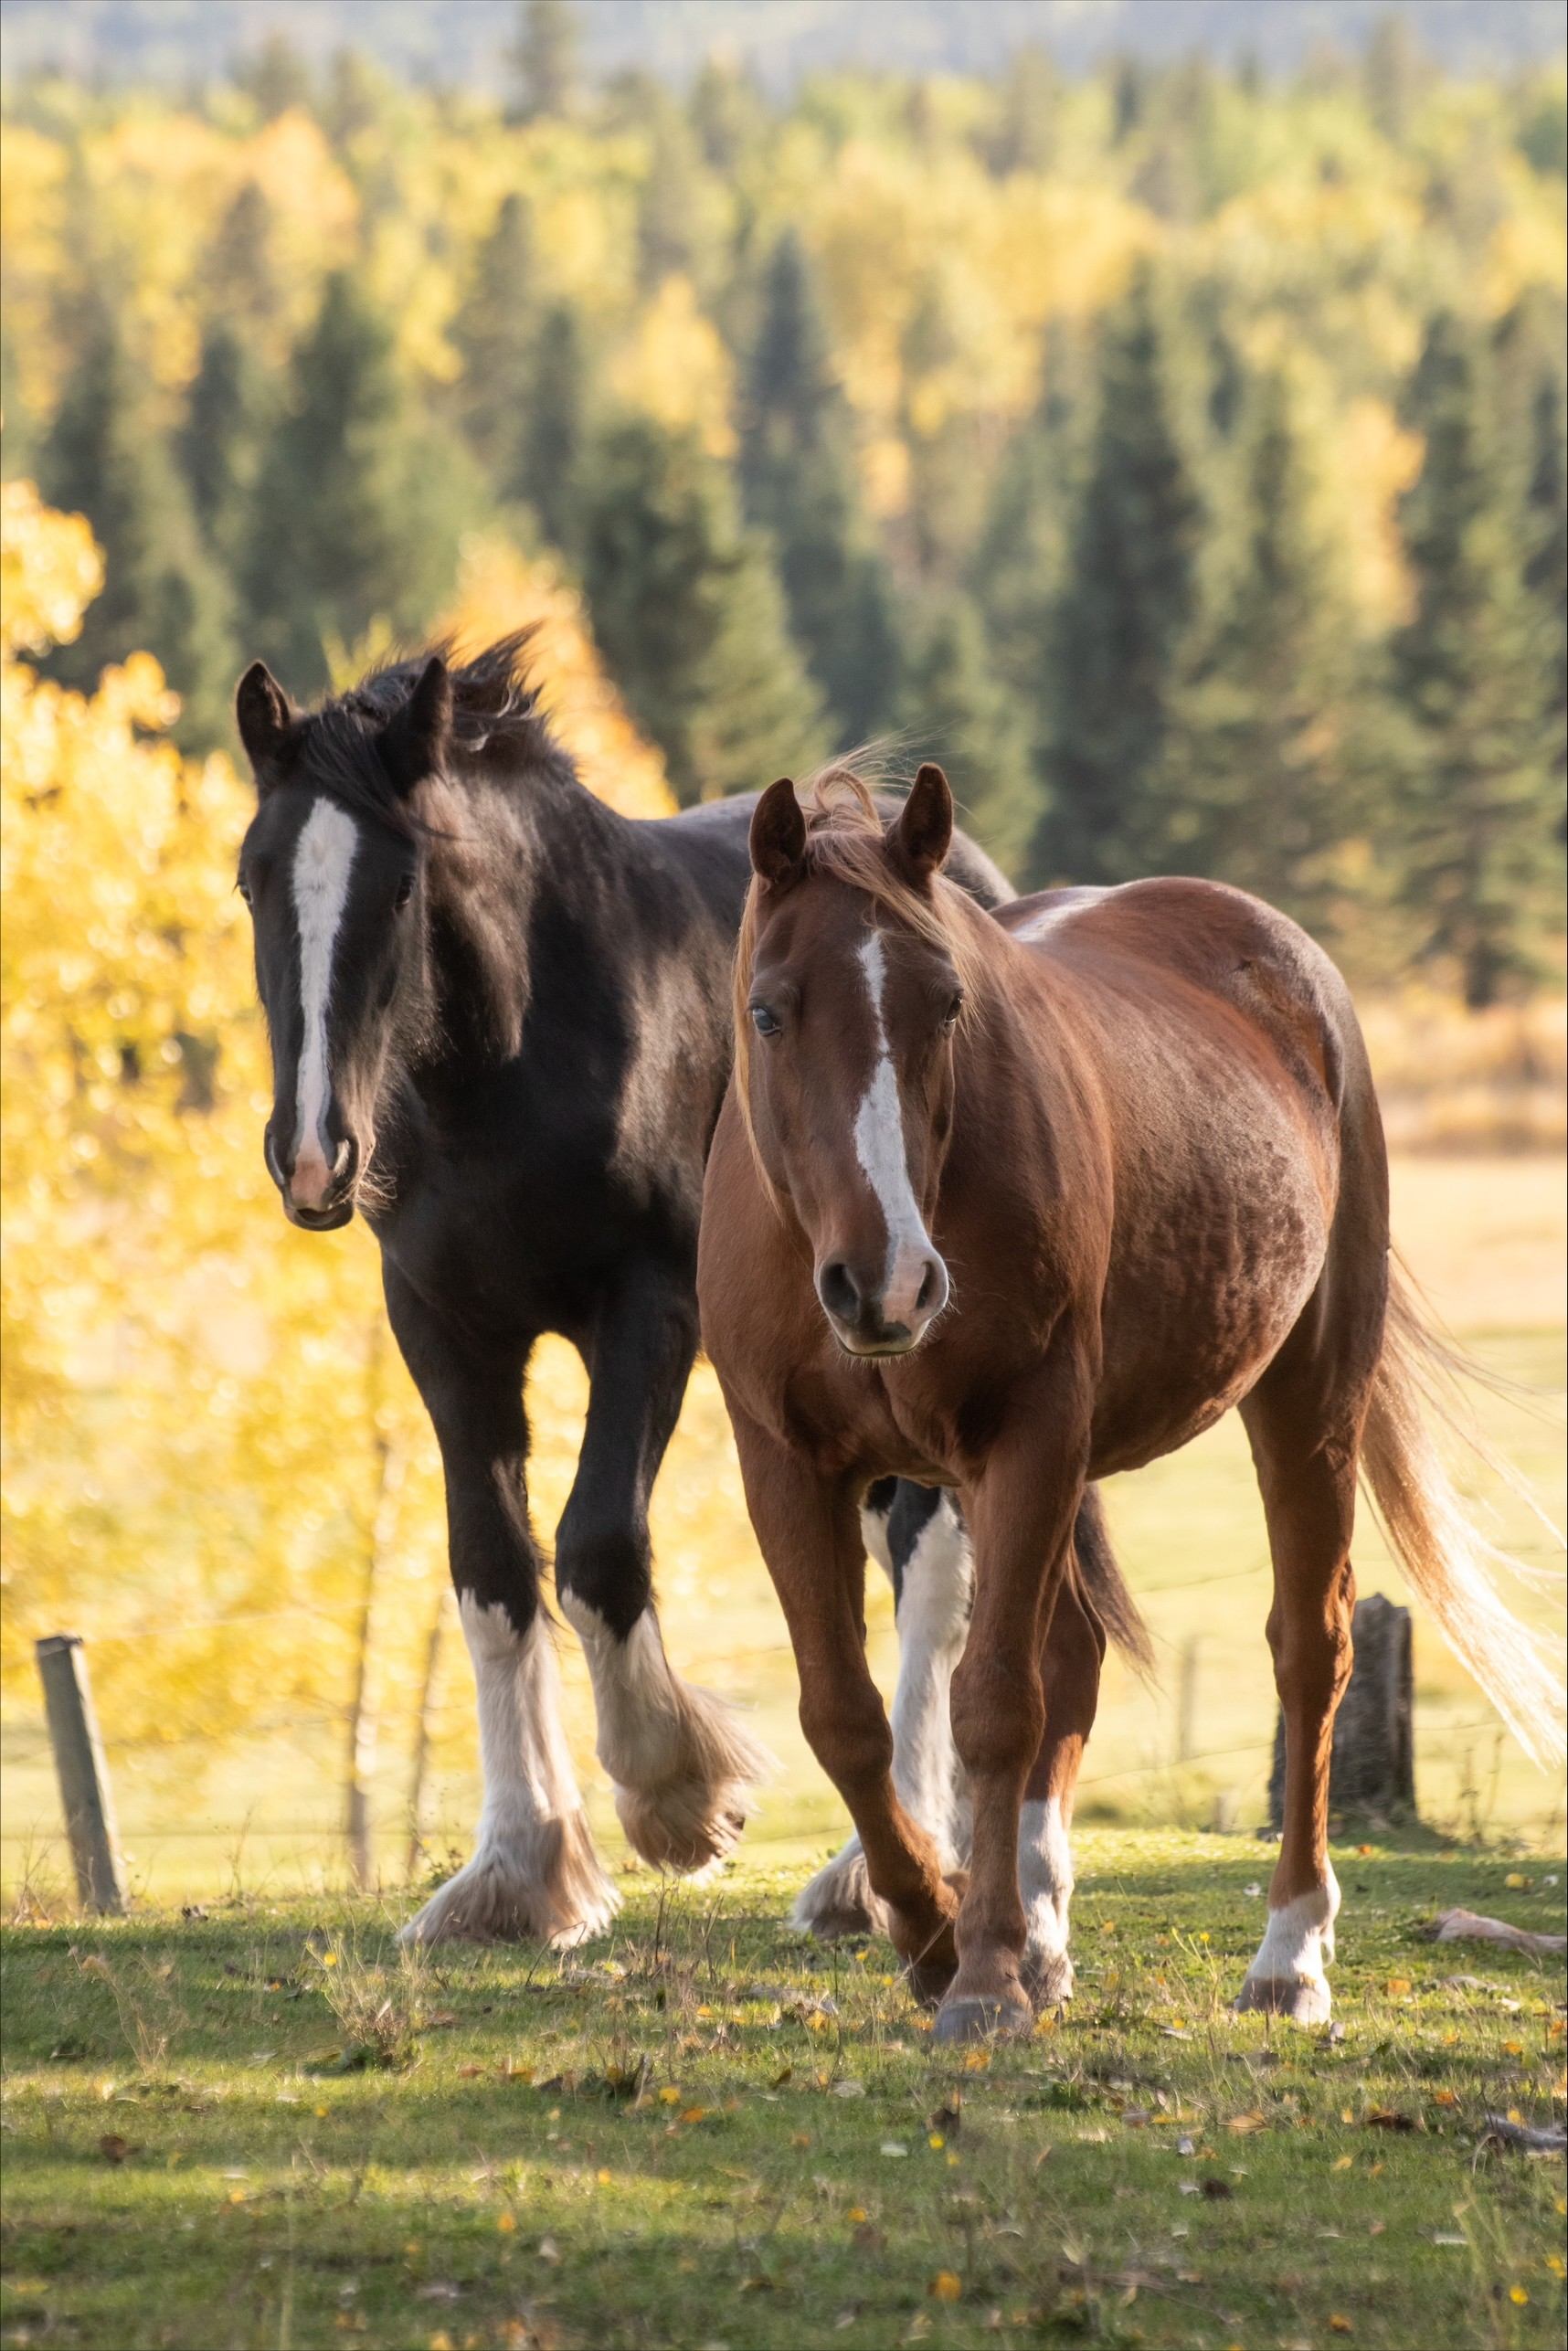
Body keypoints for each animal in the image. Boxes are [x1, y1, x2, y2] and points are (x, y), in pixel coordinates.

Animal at [232, 636, 1015, 1945]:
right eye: (253, 880)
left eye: (400, 886)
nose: (313, 1153)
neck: (516, 1049)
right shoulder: (444, 1326)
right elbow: (492, 1568)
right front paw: (518, 1868)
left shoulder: (647, 1309)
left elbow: (597, 1542)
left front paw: (678, 1794)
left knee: (934, 1554)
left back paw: (882, 1869)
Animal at [698, 763, 1564, 2042]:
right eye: (768, 1011)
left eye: (947, 1004)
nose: (889, 1281)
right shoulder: (786, 1464)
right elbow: (847, 1717)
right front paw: (937, 1934)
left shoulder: (1029, 1435)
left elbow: (993, 1703)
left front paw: (982, 1974)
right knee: (1075, 1652)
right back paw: (1046, 1936)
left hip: (1306, 1400)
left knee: (1308, 1652)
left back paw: (1287, 1955)